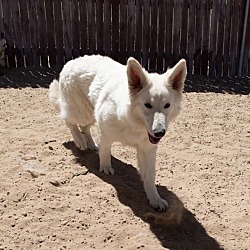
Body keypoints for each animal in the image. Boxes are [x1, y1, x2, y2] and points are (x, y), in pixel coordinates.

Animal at [49, 54, 186, 211]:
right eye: (147, 105)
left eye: (167, 105)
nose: (159, 132)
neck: (133, 122)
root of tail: (72, 61)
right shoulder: (106, 134)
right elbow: (105, 153)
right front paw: (105, 168)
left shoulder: (147, 150)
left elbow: (150, 177)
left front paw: (155, 199)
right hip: (82, 112)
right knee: (69, 120)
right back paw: (80, 141)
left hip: (91, 114)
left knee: (84, 128)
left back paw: (91, 144)